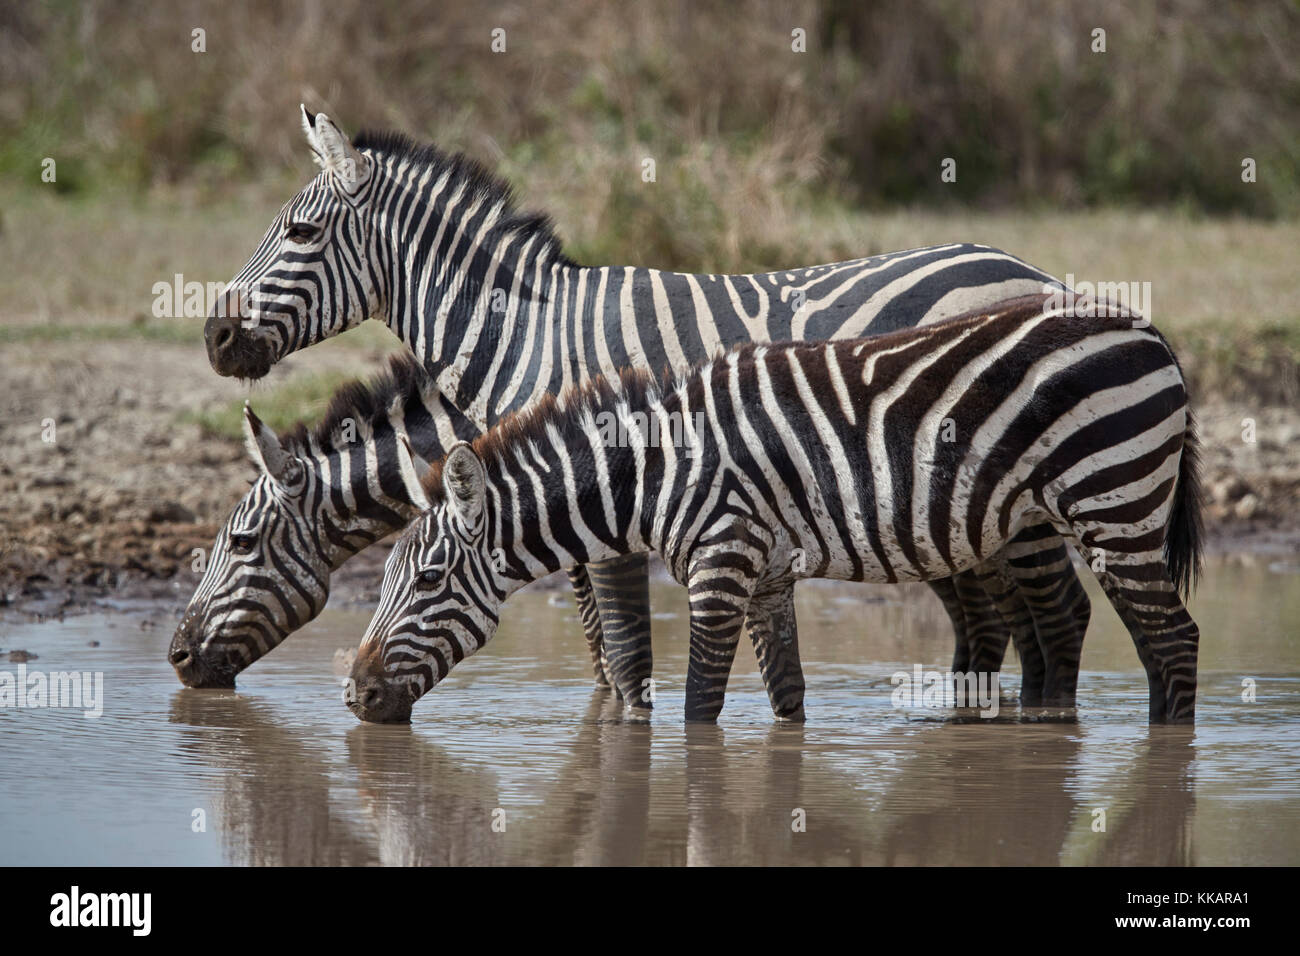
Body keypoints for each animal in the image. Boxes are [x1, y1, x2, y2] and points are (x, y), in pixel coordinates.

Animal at [202, 110, 1092, 712]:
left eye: (300, 231)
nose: (215, 335)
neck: (522, 336)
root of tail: (1032, 270)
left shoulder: (606, 496)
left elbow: (625, 650)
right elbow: (600, 646)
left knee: (1044, 616)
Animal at [348, 295, 1206, 728]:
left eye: (427, 582)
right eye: (382, 580)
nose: (354, 698)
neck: (657, 468)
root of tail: (1150, 329)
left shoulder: (721, 563)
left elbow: (699, 705)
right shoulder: (766, 574)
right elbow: (787, 696)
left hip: (1115, 505)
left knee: (1172, 640)